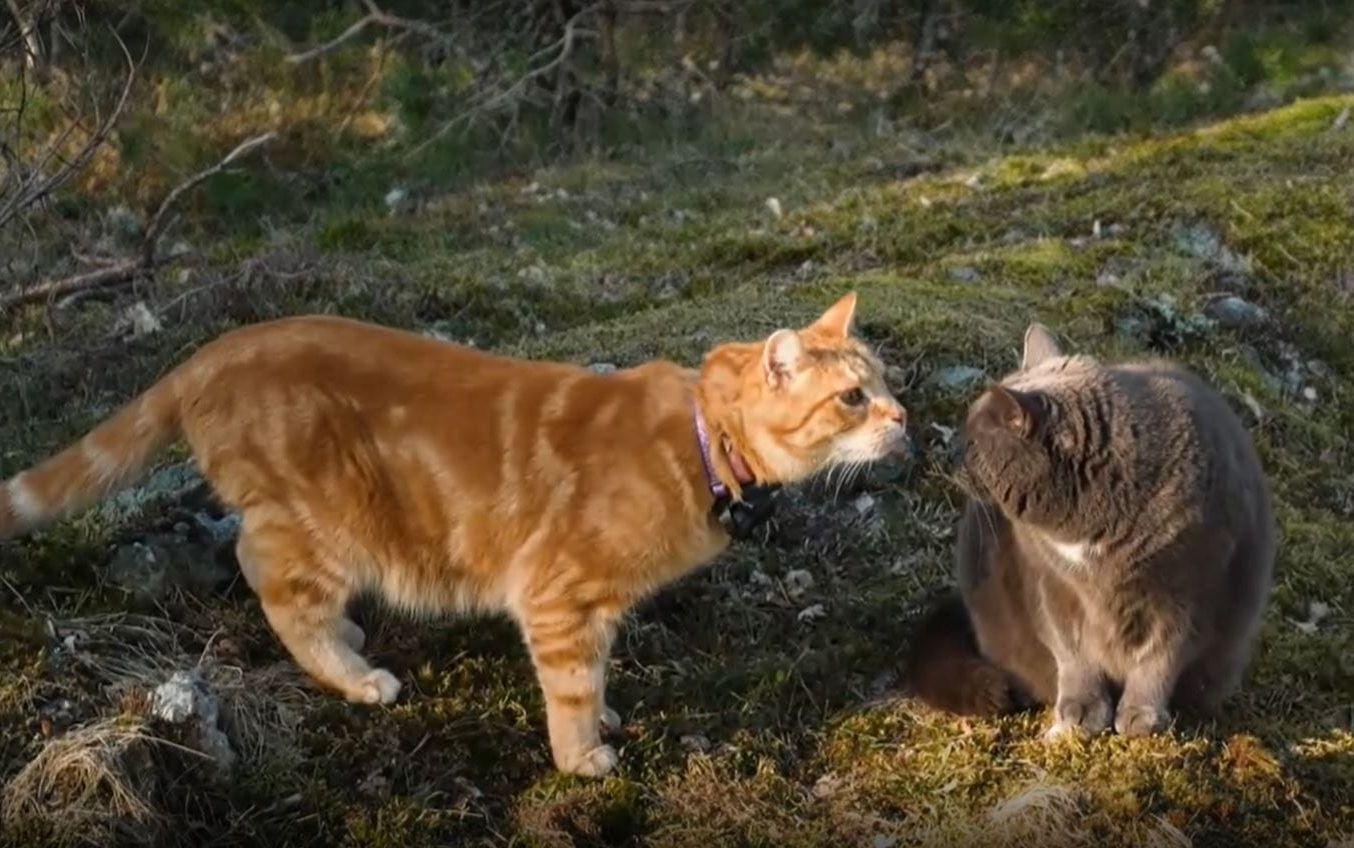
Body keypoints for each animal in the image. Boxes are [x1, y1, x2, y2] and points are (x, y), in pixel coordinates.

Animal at [5, 289, 909, 774]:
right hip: (325, 522)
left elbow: (595, 677)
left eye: (886, 381)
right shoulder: (558, 598)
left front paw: (606, 719)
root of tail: (214, 348)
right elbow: (572, 686)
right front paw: (583, 755)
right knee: (270, 576)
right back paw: (354, 674)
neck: (702, 445)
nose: (903, 417)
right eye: (852, 398)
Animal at [909, 323, 1267, 731]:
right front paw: (1081, 712)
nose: (948, 454)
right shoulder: (1050, 583)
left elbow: (1160, 659)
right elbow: (1073, 653)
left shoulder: (1189, 593)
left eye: (971, 443)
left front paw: (1142, 717)